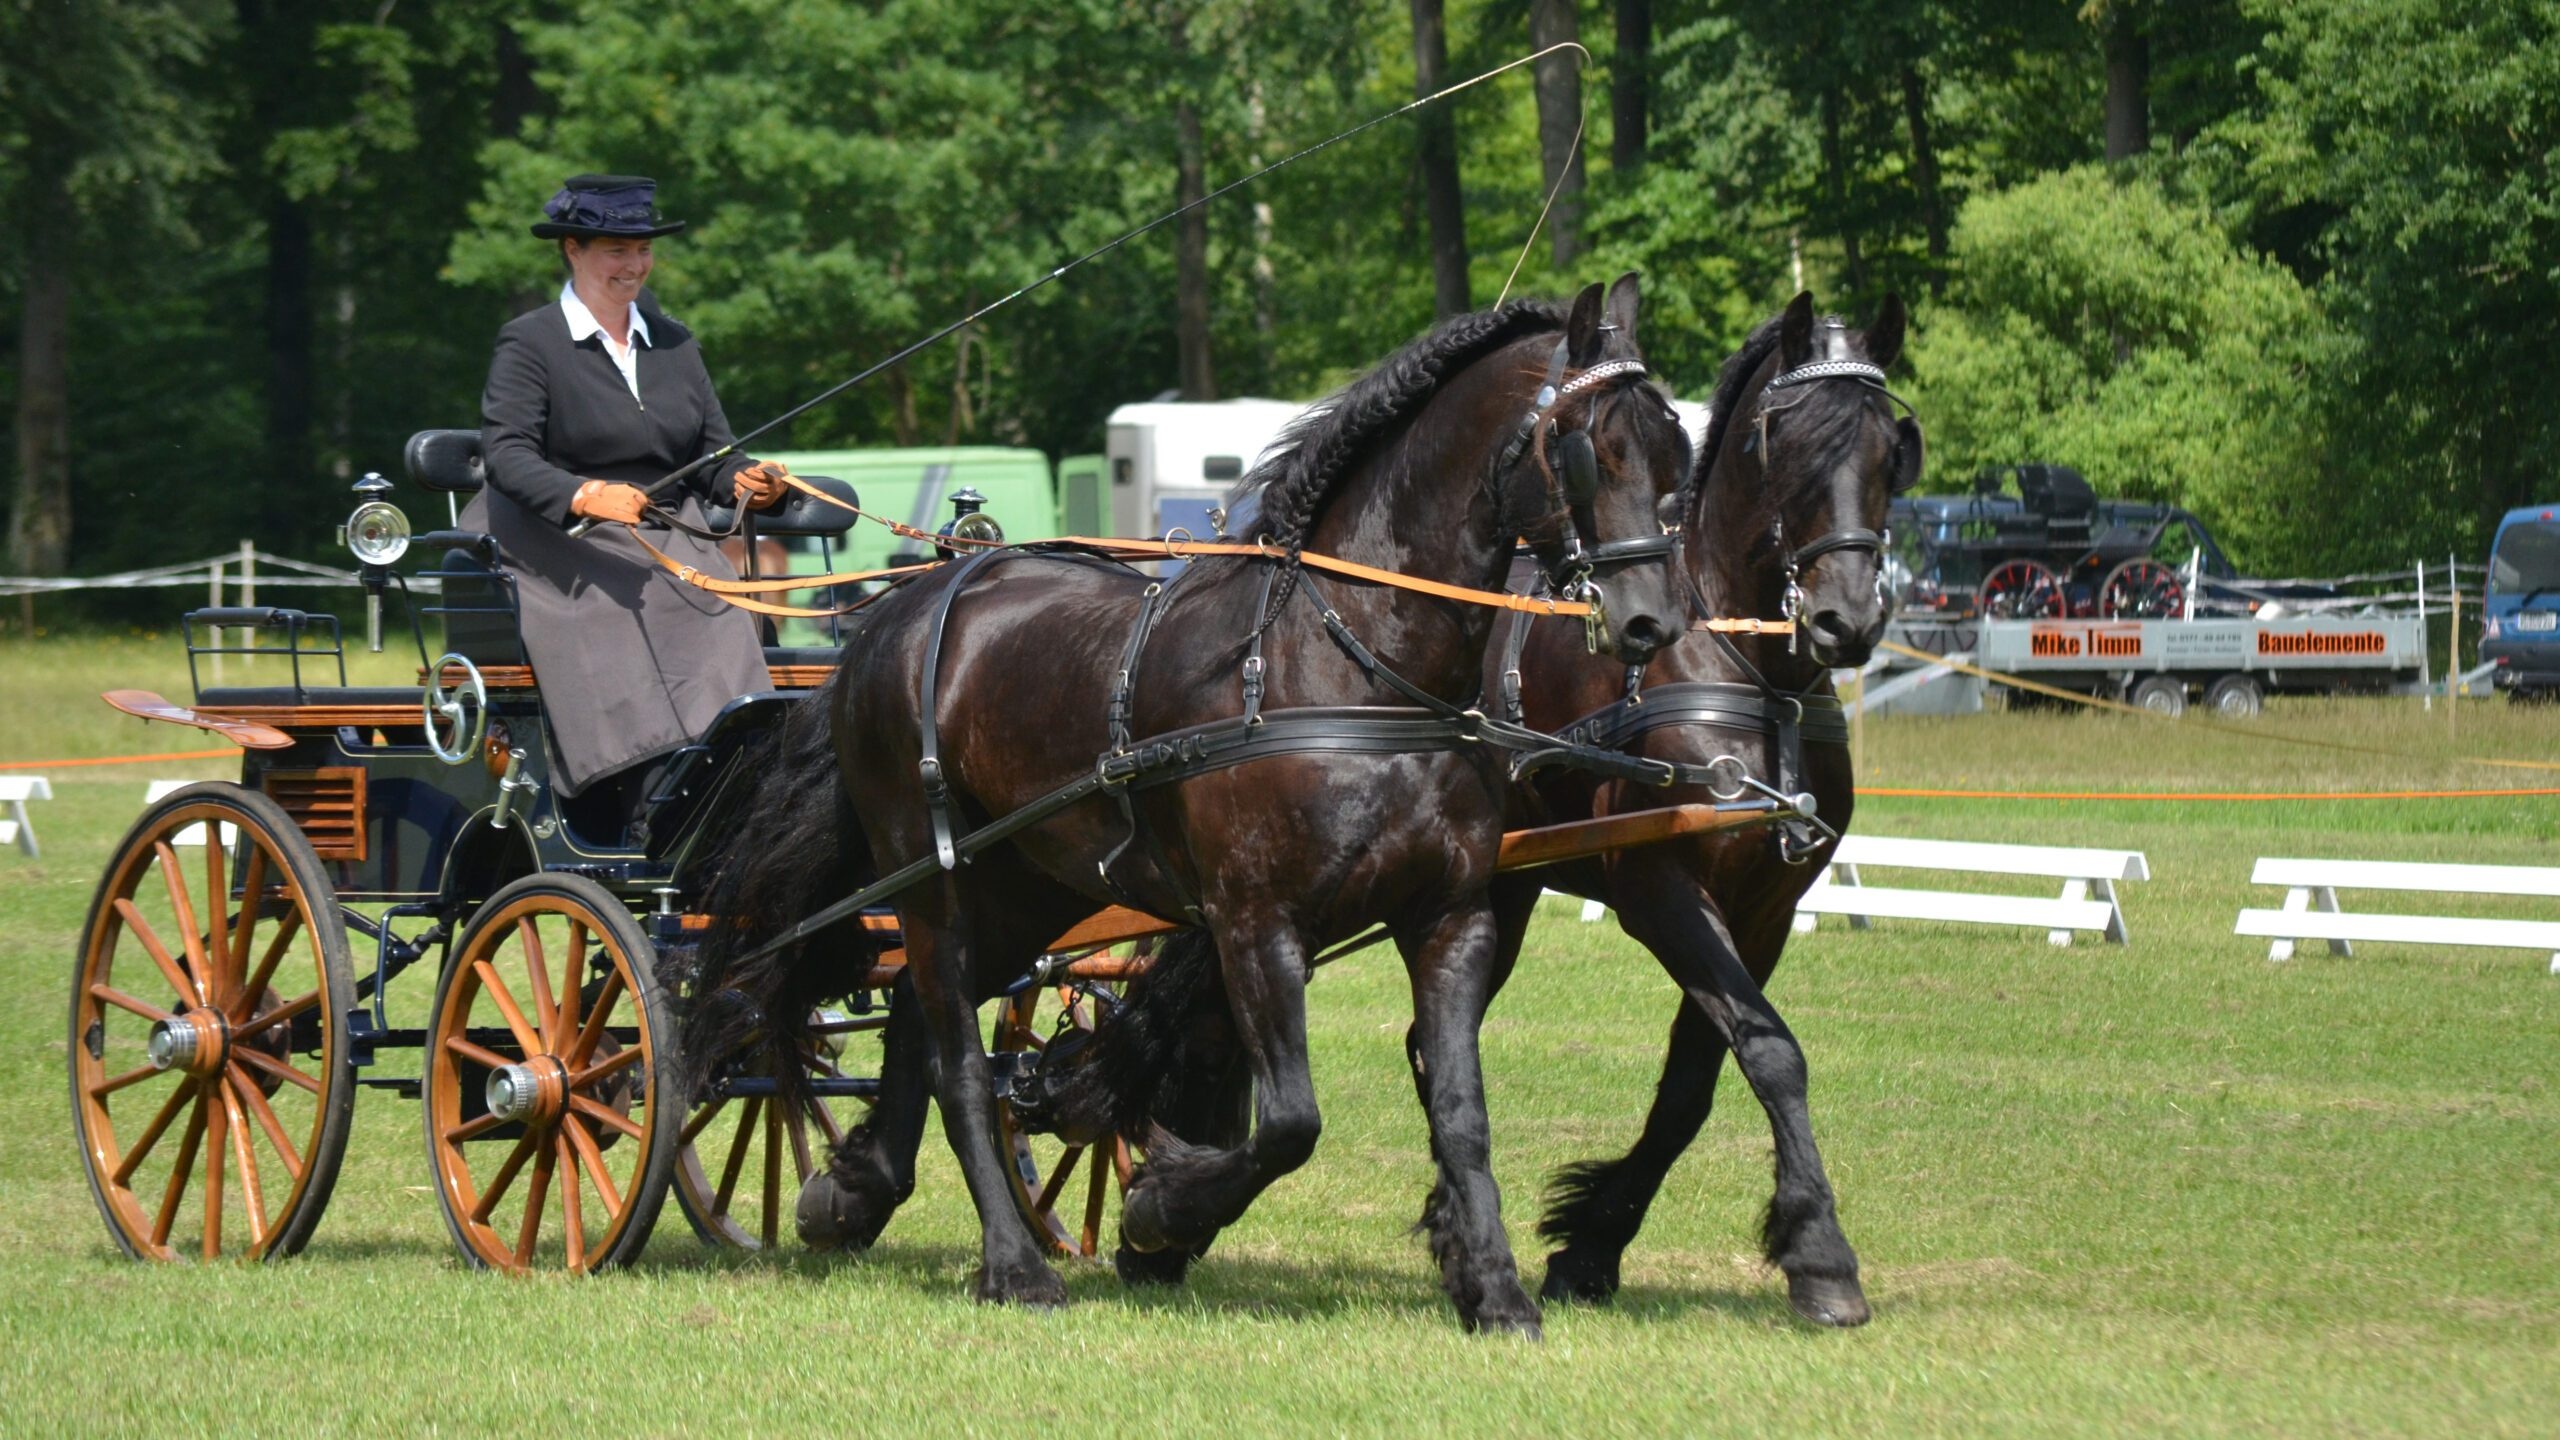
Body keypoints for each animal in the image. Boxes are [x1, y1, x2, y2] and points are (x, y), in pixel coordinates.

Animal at [696, 274, 1699, 1332]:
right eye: (1592, 448)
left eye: (1675, 453)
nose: (1652, 621)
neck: (1349, 668)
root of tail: (906, 605)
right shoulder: (1256, 923)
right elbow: (1292, 1121)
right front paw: (1159, 1212)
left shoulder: (1450, 917)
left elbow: (1461, 1114)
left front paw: (1497, 1291)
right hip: (929, 883)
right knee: (958, 1060)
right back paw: (1015, 1266)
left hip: (1026, 891)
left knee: (919, 1026)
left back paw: (855, 1194)